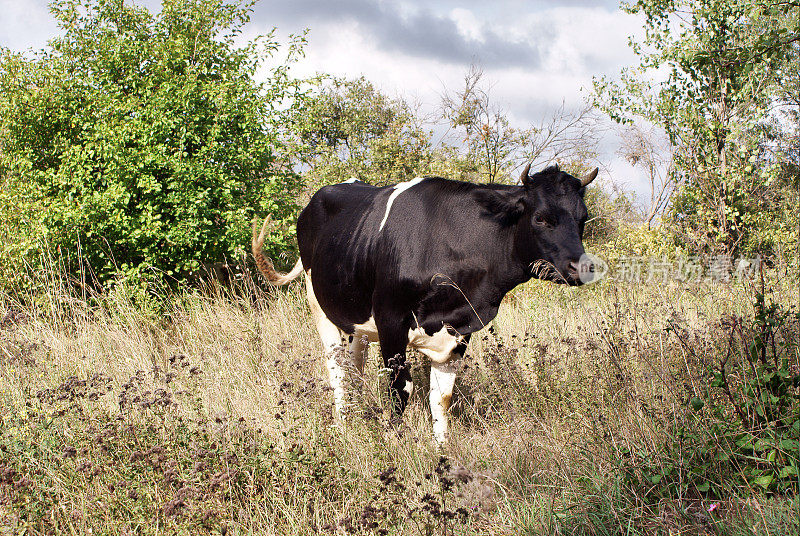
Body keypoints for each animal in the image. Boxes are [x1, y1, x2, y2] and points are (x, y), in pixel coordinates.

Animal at [253, 163, 596, 444]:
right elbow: (399, 390)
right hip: (318, 304)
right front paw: (392, 444)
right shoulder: (391, 320)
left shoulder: (459, 330)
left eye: (583, 219)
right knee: (336, 368)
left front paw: (442, 451)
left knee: (355, 366)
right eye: (541, 219)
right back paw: (343, 424)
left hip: (359, 321)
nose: (582, 267)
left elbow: (441, 398)